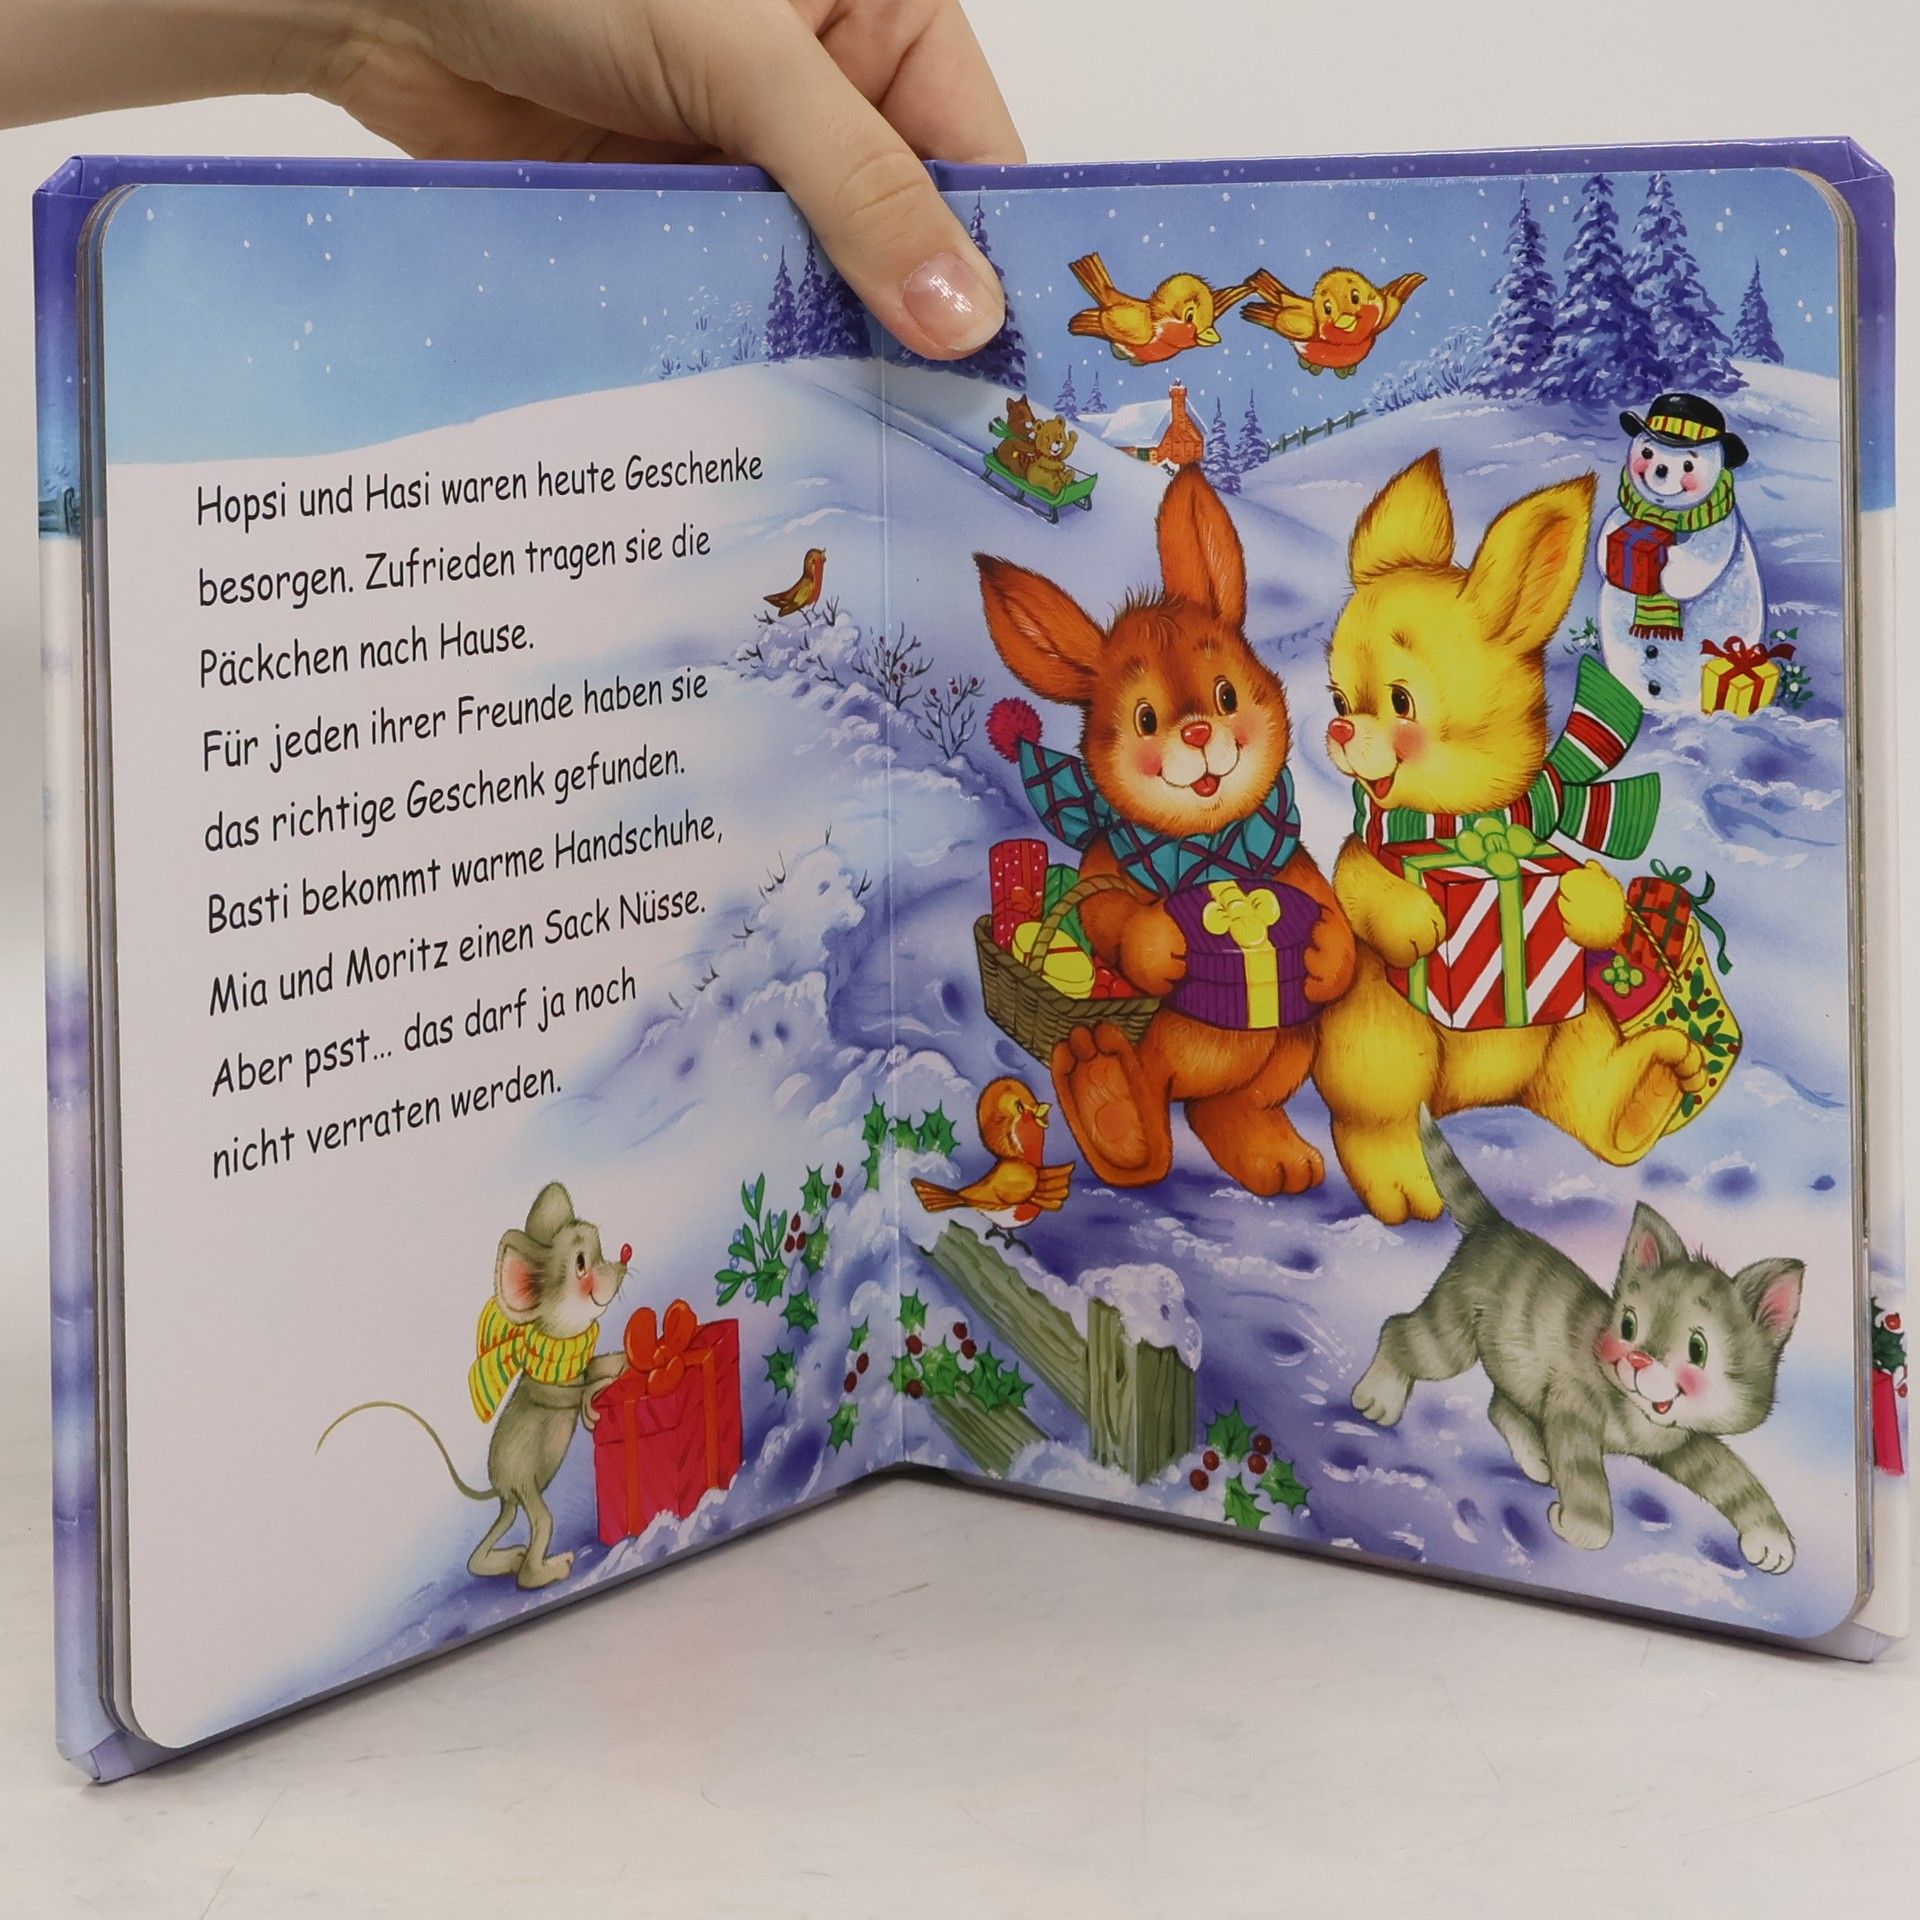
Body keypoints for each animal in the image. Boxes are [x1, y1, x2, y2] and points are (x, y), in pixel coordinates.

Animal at [1311, 452, 1709, 1223]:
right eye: (1338, 697)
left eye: (1401, 700)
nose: (1340, 729)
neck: (1471, 824)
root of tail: (1475, 1102)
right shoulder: (1365, 853)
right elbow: (1359, 876)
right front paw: (1415, 921)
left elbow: (1588, 882)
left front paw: (1589, 902)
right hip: (1380, 1039)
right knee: (1378, 1112)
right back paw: (1404, 1180)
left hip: (1576, 1034)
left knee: (1588, 1093)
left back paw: (1647, 1090)